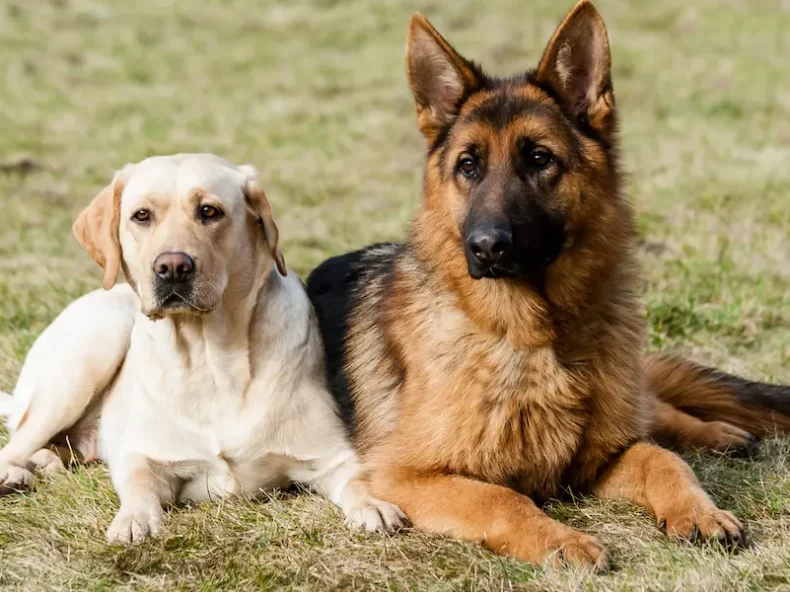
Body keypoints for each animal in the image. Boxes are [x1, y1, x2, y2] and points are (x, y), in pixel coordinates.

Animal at [0, 154, 406, 544]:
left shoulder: (333, 455)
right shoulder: (141, 454)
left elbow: (358, 480)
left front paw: (374, 506)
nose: (172, 267)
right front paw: (133, 521)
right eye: (141, 215)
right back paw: (15, 474)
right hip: (95, 346)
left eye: (209, 211)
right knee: (17, 442)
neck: (209, 358)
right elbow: (138, 484)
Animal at [306, 1, 790, 572]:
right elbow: (501, 498)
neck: (533, 337)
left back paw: (719, 433)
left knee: (655, 415)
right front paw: (562, 540)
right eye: (468, 165)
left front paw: (698, 511)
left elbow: (663, 460)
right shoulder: (408, 477)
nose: (486, 248)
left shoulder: (604, 456)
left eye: (540, 158)